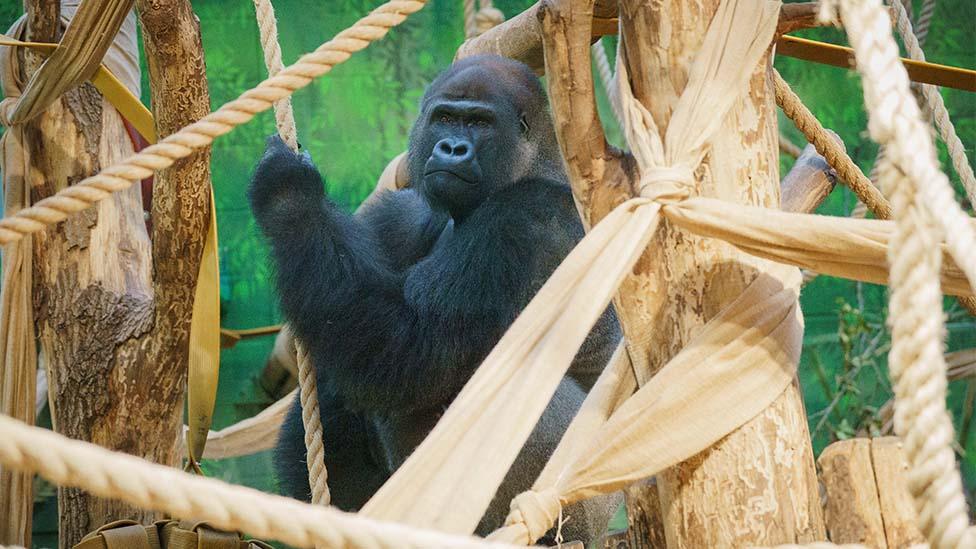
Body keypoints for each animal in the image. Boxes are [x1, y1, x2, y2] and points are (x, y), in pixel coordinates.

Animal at [248, 53, 620, 540]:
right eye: (445, 118)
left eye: (479, 123)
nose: (452, 149)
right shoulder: (400, 213)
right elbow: (347, 317)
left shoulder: (528, 221)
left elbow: (412, 349)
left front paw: (288, 196)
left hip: (571, 508)